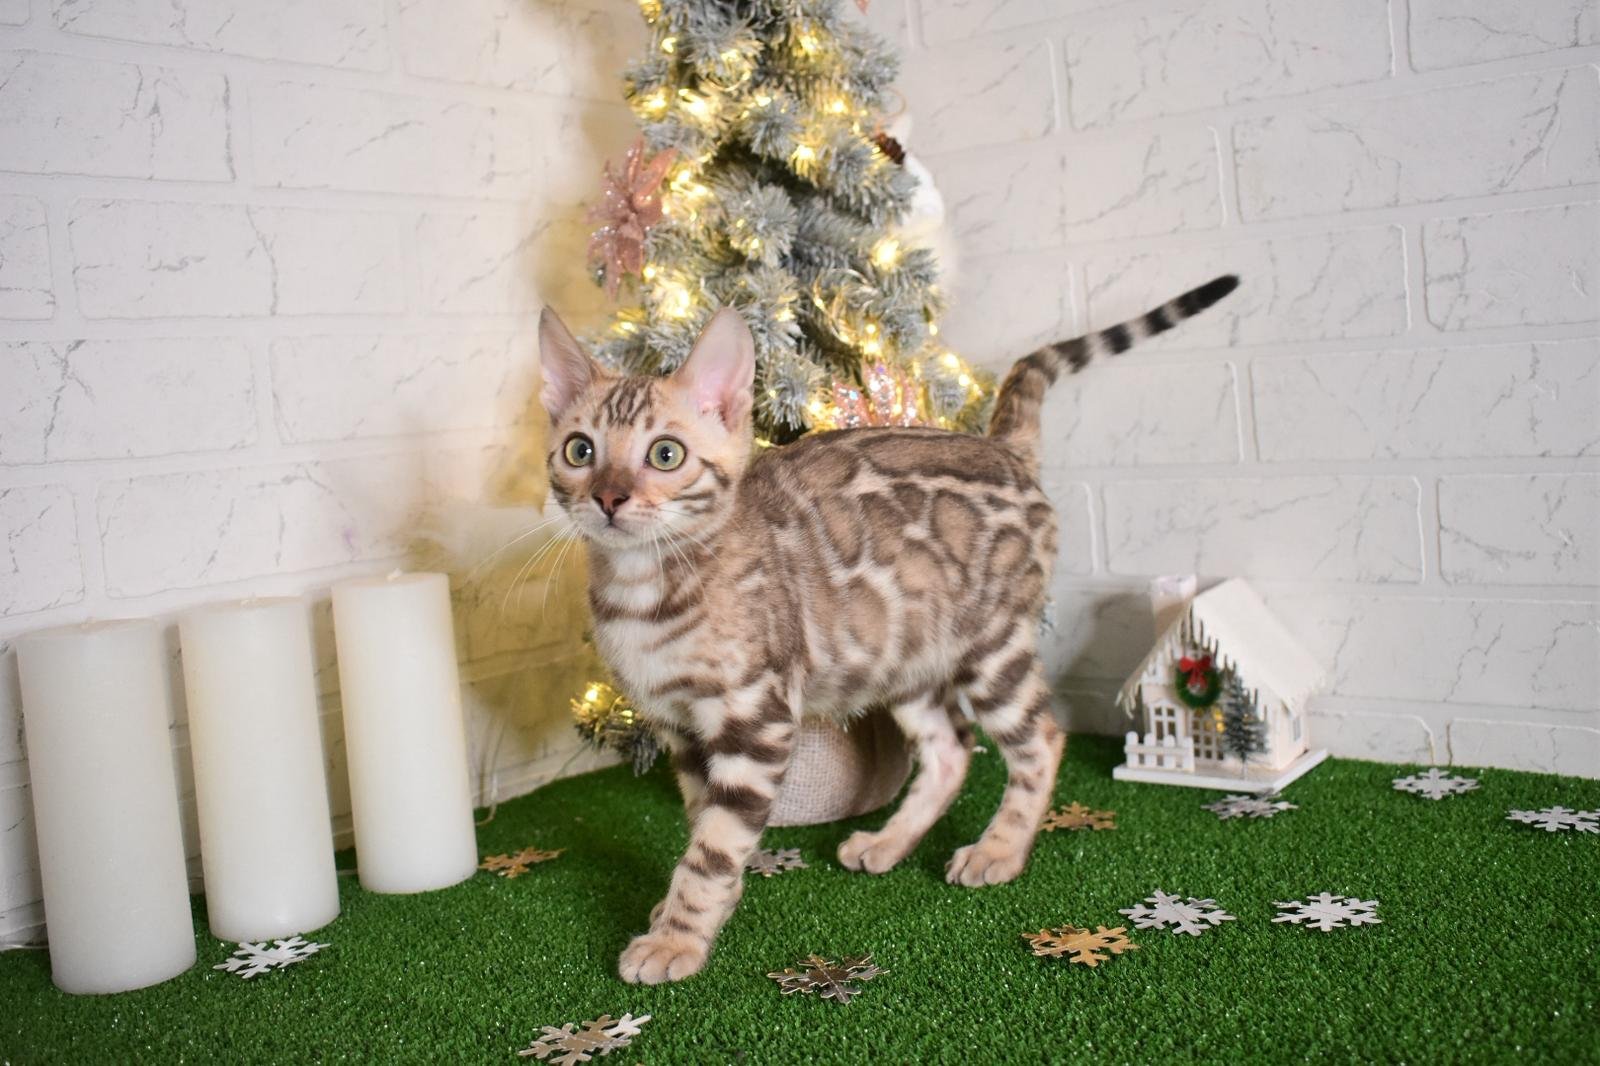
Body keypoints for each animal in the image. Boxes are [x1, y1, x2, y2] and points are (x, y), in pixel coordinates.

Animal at [537, 273, 1238, 985]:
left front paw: (677, 939)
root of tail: (1002, 446)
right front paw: (693, 911)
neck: (645, 592)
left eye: (666, 454)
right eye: (580, 450)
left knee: (1042, 738)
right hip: (903, 657)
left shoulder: (756, 719)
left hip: (991, 644)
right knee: (952, 749)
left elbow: (713, 846)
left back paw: (1000, 850)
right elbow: (703, 822)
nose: (609, 498)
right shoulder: (678, 729)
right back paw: (889, 842)